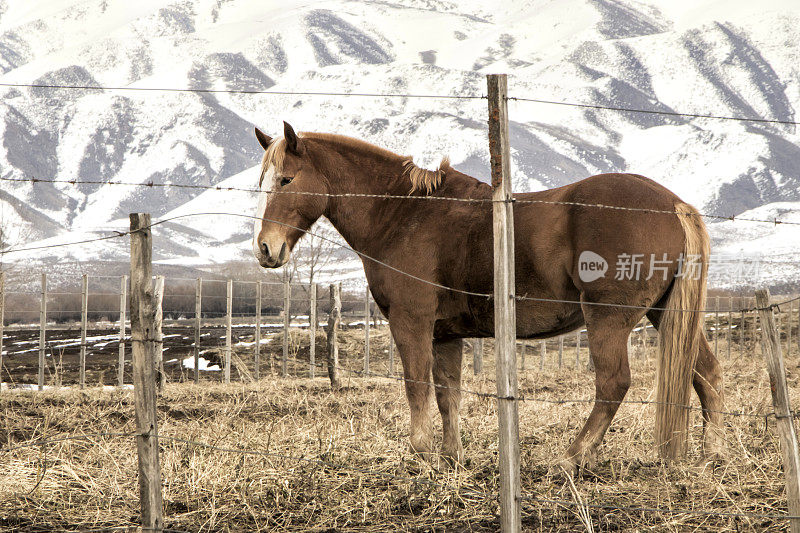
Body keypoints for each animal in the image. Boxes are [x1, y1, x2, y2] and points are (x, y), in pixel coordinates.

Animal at [252, 121, 724, 470]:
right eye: (263, 182)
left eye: (286, 179)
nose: (265, 249)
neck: (404, 214)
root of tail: (674, 205)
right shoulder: (444, 335)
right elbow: (448, 394)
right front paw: (450, 457)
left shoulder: (411, 322)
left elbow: (416, 386)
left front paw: (422, 454)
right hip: (665, 313)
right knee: (706, 373)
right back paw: (711, 454)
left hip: (607, 320)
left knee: (613, 383)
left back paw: (571, 457)